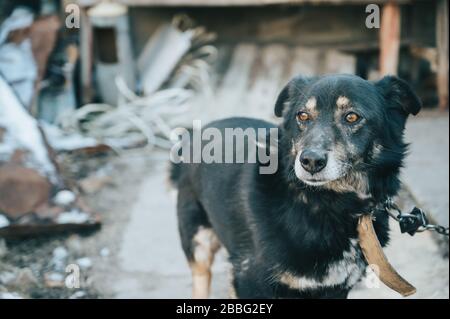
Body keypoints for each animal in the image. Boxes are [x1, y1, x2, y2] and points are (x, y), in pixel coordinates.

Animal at [170, 74, 422, 298]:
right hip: (198, 242)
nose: (310, 161)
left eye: (352, 117)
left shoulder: (335, 289)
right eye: (303, 115)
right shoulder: (250, 281)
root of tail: (200, 132)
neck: (331, 204)